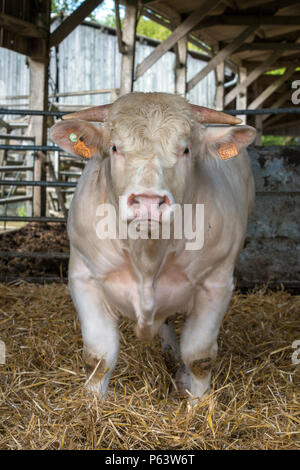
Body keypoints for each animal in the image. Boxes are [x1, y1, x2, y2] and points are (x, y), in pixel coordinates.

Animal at [51, 92, 255, 400]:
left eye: (186, 150)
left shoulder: (216, 283)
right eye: (114, 147)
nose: (148, 201)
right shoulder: (84, 277)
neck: (146, 254)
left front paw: (198, 405)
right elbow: (99, 356)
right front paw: (92, 405)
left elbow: (199, 356)